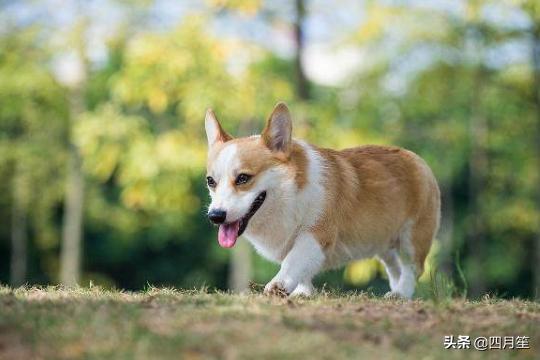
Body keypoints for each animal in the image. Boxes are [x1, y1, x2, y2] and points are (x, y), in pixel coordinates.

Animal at [205, 102, 440, 298]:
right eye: (210, 181)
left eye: (243, 178)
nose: (215, 216)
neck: (288, 193)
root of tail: (415, 158)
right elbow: (302, 269)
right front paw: (304, 293)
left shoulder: (316, 234)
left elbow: (293, 260)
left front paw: (279, 285)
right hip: (385, 245)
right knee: (395, 269)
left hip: (412, 237)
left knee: (412, 268)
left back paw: (401, 293)